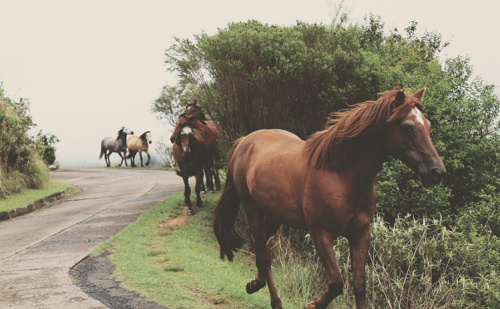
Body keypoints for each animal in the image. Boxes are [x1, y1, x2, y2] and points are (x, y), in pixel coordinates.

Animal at [213, 87, 448, 308]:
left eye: (427, 125)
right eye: (408, 127)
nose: (438, 172)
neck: (341, 176)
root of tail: (245, 140)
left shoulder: (361, 234)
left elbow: (359, 286)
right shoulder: (321, 233)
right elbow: (336, 283)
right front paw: (312, 304)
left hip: (274, 215)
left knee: (259, 248)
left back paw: (254, 284)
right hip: (252, 208)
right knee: (264, 255)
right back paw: (276, 302)